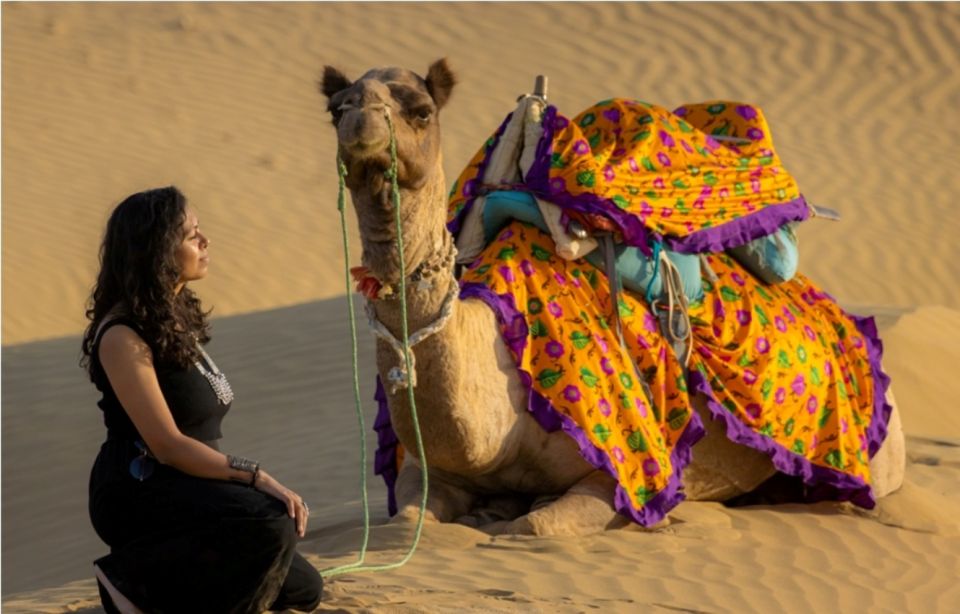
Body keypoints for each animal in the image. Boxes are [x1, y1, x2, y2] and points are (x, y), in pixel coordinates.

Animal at [320, 59, 906, 536]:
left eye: (420, 110)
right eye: (335, 108)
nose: (360, 119)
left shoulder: (624, 467)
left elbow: (537, 527)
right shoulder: (428, 472)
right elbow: (409, 518)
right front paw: (489, 509)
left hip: (879, 453)